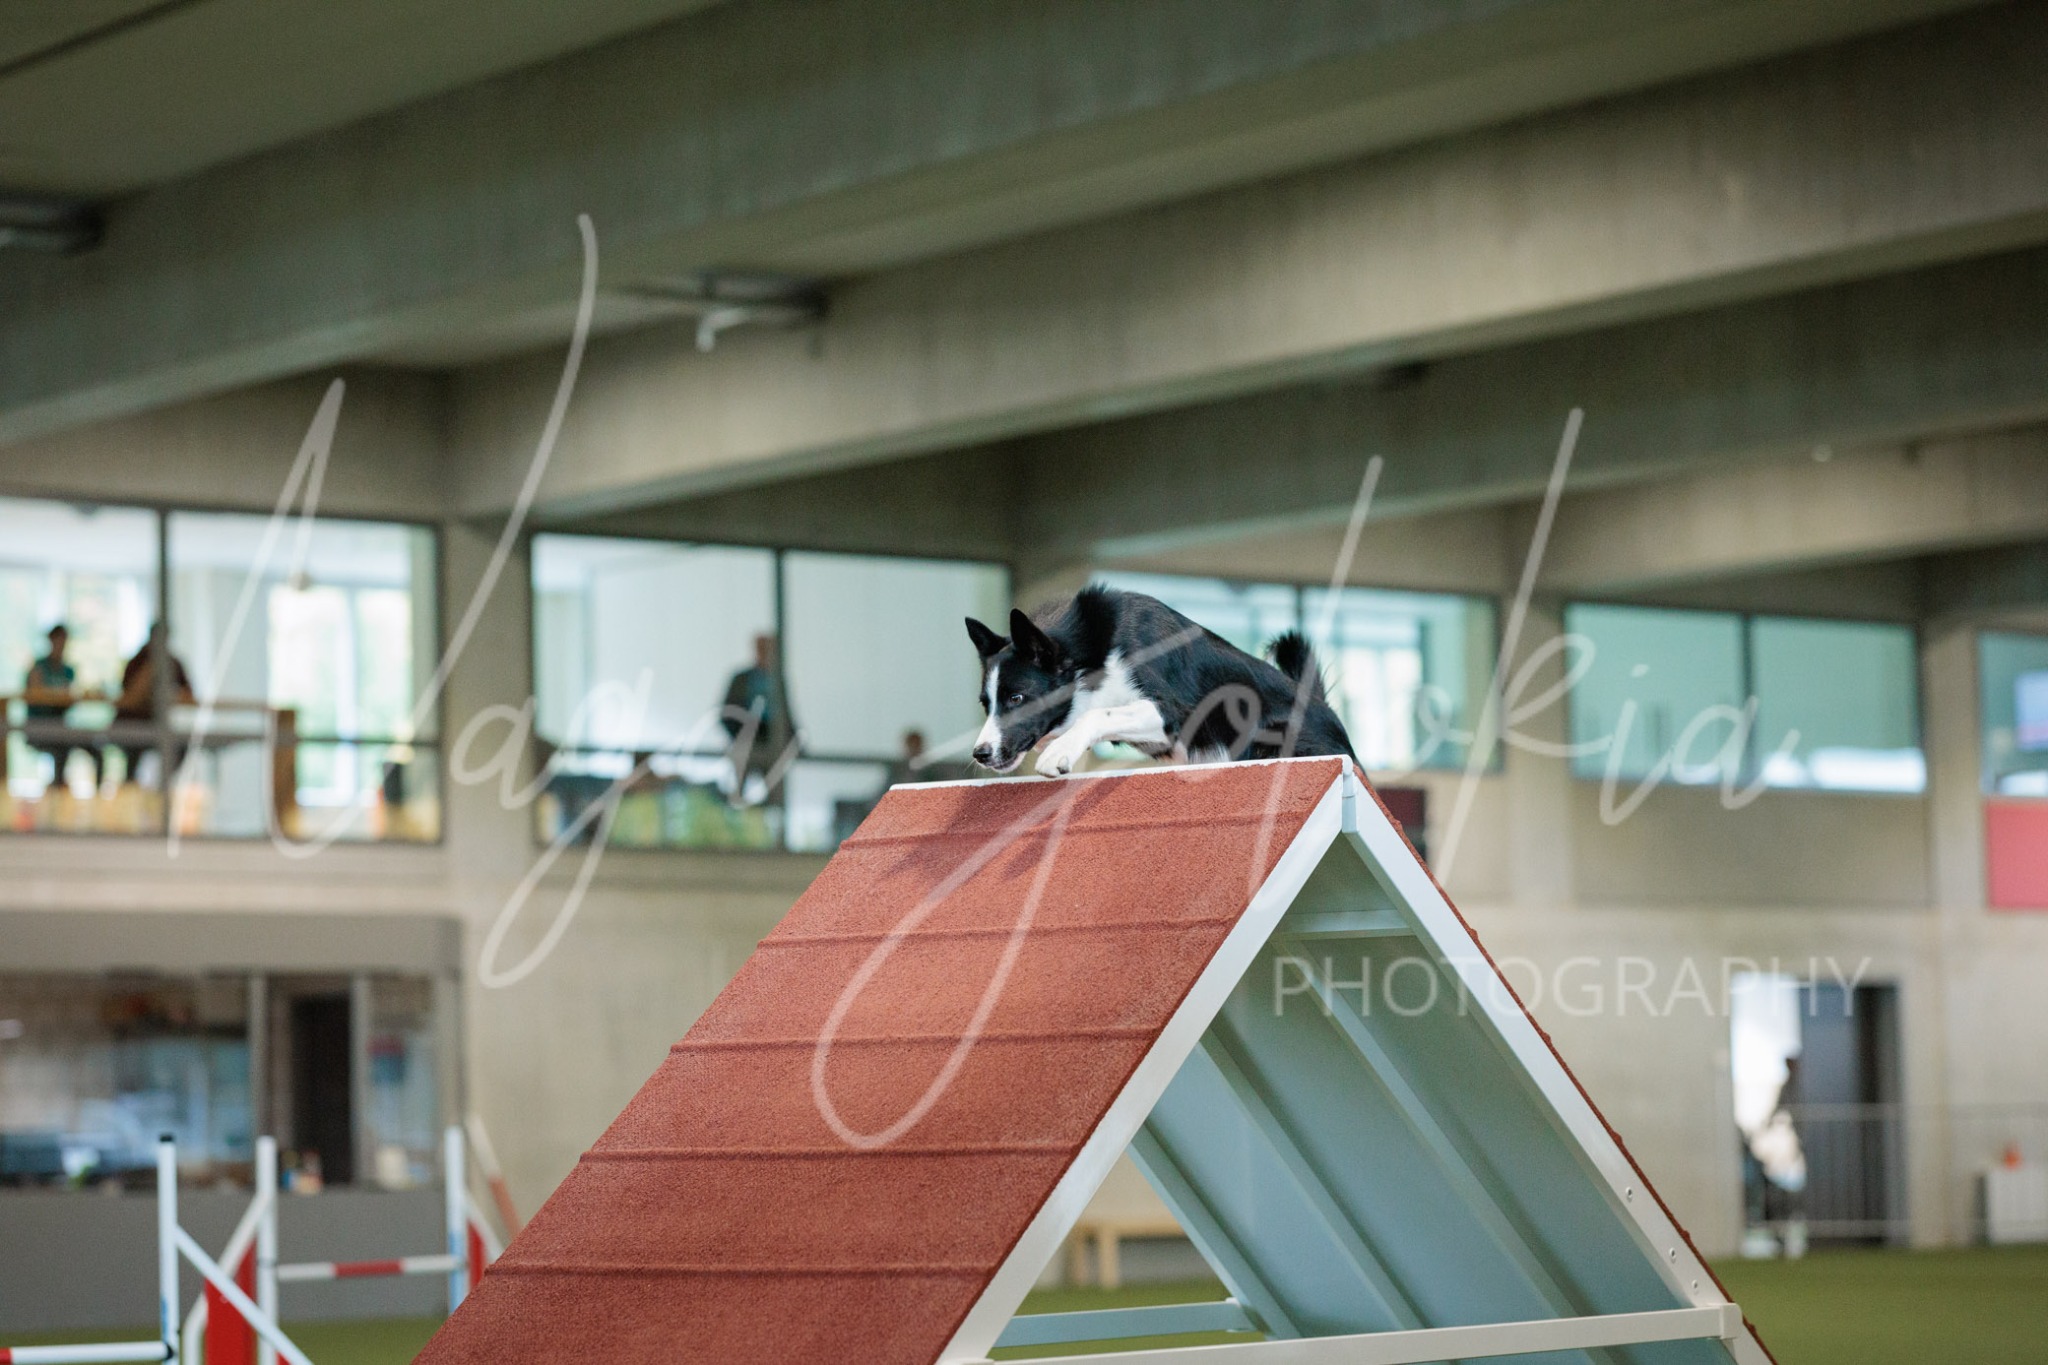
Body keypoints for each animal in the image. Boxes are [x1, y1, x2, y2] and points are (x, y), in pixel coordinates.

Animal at [965, 585, 1356, 776]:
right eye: (985, 704)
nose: (980, 754)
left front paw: (1060, 752)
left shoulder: (1174, 712)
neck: (1092, 650)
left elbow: (1098, 714)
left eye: (1016, 698)